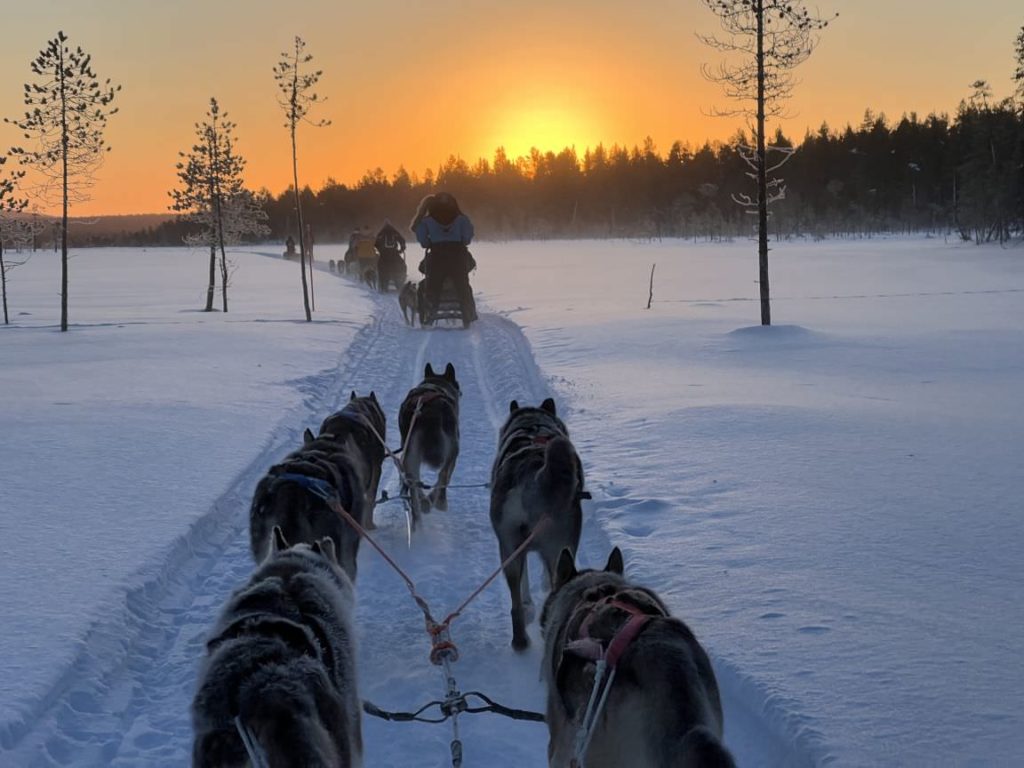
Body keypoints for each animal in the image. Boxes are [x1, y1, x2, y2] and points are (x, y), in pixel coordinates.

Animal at [399, 364, 460, 528]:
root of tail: (431, 412)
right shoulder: (454, 455)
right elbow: (446, 479)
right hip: (451, 449)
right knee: (442, 476)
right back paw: (435, 502)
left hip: (410, 456)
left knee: (414, 483)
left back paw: (418, 520)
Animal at [489, 399, 585, 651]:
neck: (533, 426)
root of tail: (532, 477)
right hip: (560, 547)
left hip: (509, 548)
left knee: (515, 605)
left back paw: (520, 640)